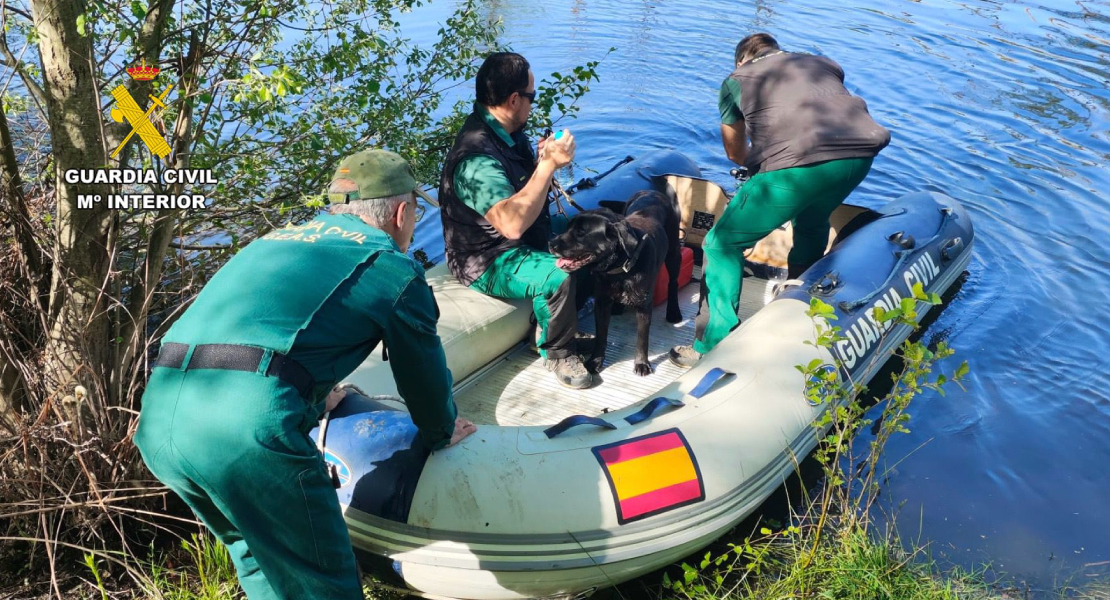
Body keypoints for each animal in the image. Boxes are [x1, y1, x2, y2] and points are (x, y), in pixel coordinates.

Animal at [548, 189, 683, 377]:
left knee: (673, 282)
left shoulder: (643, 306)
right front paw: (595, 361)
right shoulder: (601, 303)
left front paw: (641, 363)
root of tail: (652, 191)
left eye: (581, 232)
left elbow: (642, 338)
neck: (619, 269)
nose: (550, 243)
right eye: (567, 228)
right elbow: (601, 336)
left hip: (673, 252)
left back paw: (673, 311)